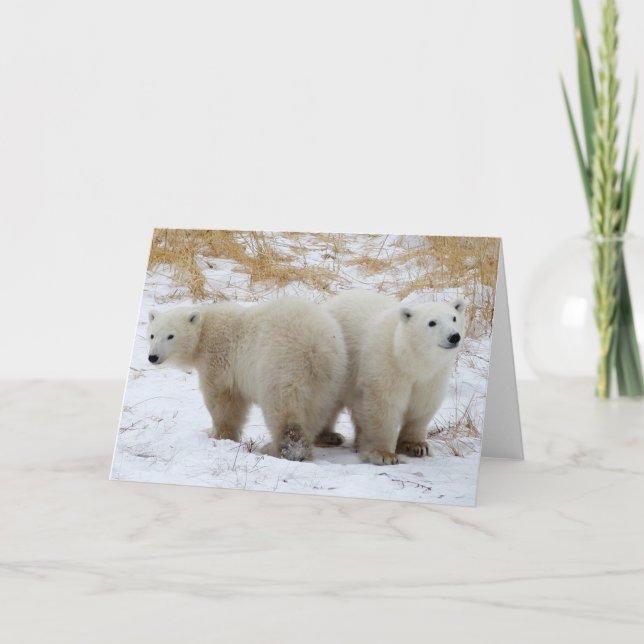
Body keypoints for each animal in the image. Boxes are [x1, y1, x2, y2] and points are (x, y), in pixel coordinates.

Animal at [146, 298, 348, 461]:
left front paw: (217, 434)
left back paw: (277, 448)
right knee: (315, 412)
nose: (152, 357)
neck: (205, 330)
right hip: (328, 380)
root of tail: (317, 347)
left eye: (171, 336)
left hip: (280, 366)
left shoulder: (219, 358)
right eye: (152, 335)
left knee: (283, 409)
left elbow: (222, 400)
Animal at [323, 289, 466, 465]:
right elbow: (384, 406)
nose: (454, 336)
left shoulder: (431, 378)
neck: (409, 359)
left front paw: (416, 446)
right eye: (432, 322)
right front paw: (384, 454)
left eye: (454, 318)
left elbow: (422, 406)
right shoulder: (388, 366)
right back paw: (329, 436)